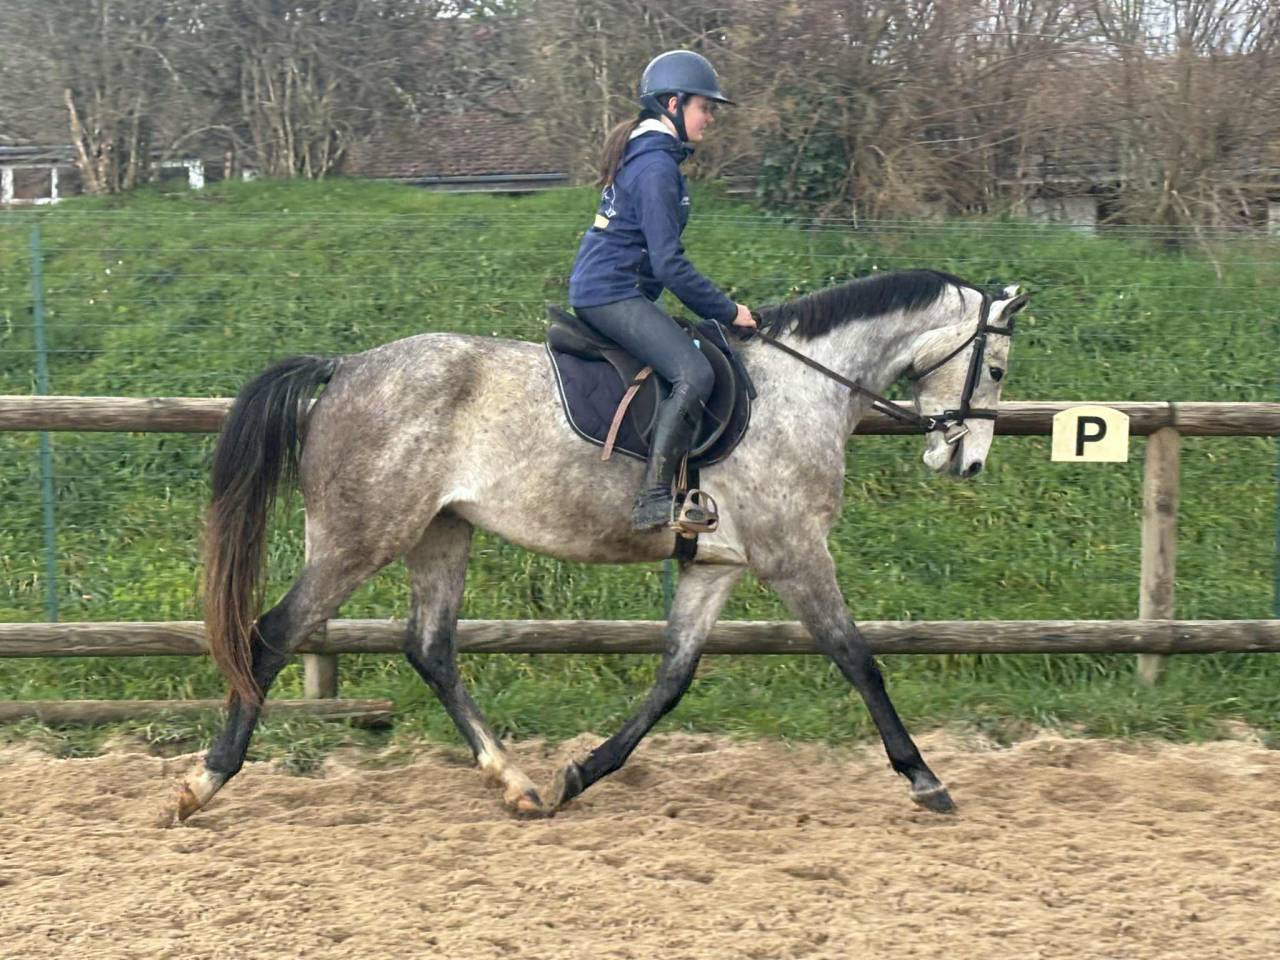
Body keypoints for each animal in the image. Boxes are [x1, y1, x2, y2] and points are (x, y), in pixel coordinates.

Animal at [169, 268, 1027, 823]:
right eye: (996, 364)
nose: (967, 462)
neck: (801, 388)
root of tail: (345, 367)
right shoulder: (794, 553)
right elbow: (859, 660)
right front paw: (925, 779)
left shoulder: (716, 567)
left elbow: (672, 681)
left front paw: (579, 775)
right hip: (360, 537)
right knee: (272, 634)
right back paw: (204, 784)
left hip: (441, 532)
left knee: (430, 648)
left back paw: (517, 784)